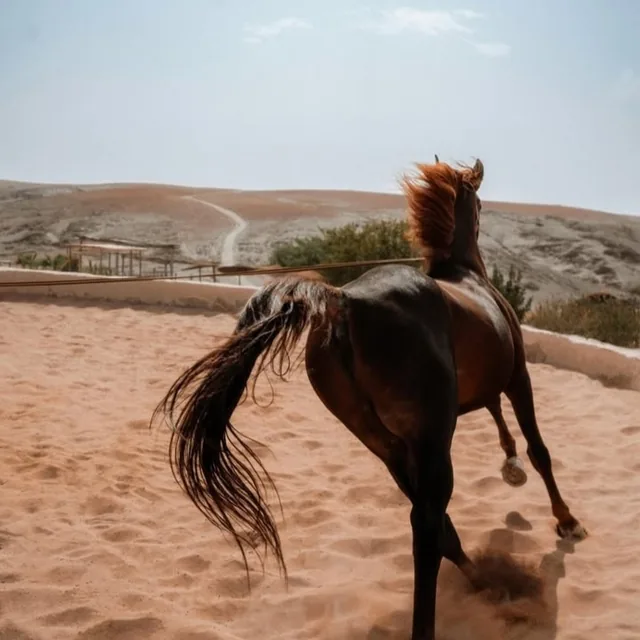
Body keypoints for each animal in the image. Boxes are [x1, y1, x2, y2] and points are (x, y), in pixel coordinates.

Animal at [152, 158, 587, 640]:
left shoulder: (484, 391)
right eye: (480, 202)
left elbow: (499, 419)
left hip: (384, 443)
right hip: (431, 440)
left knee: (432, 522)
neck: (468, 277)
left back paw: (483, 581)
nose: (481, 219)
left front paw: (511, 466)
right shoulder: (517, 376)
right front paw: (566, 520)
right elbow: (539, 450)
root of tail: (344, 300)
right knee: (427, 525)